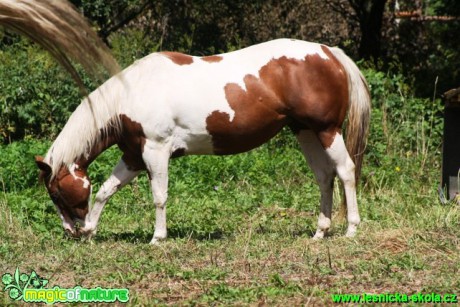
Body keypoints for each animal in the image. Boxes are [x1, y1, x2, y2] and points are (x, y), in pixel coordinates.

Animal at [33, 39, 370, 245]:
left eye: (55, 193)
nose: (71, 231)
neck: (132, 92)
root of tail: (330, 52)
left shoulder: (155, 151)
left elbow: (159, 196)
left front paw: (158, 237)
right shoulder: (133, 155)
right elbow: (105, 191)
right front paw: (92, 229)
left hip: (327, 130)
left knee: (345, 171)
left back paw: (352, 229)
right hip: (305, 131)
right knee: (324, 177)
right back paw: (320, 232)